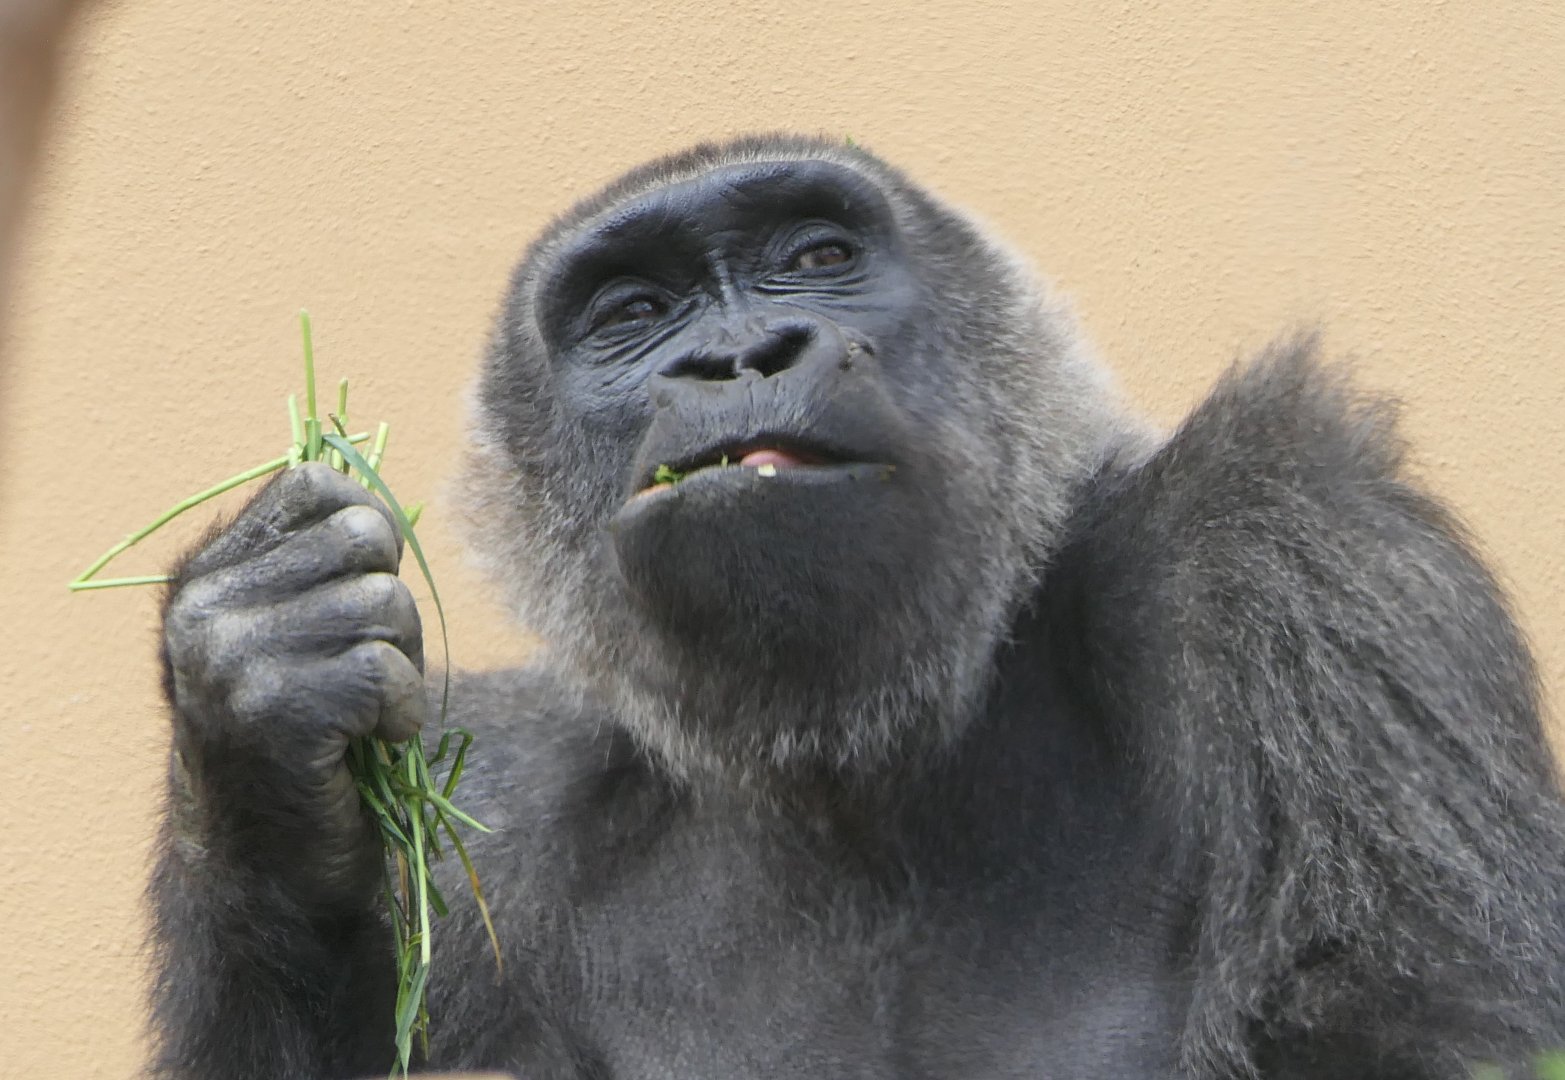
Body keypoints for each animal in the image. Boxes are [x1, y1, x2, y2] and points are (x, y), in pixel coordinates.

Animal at [149, 134, 1565, 1079]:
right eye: (634, 313)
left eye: (819, 257)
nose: (737, 357)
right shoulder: (495, 800)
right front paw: (263, 711)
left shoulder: (1296, 542)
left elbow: (1419, 1026)